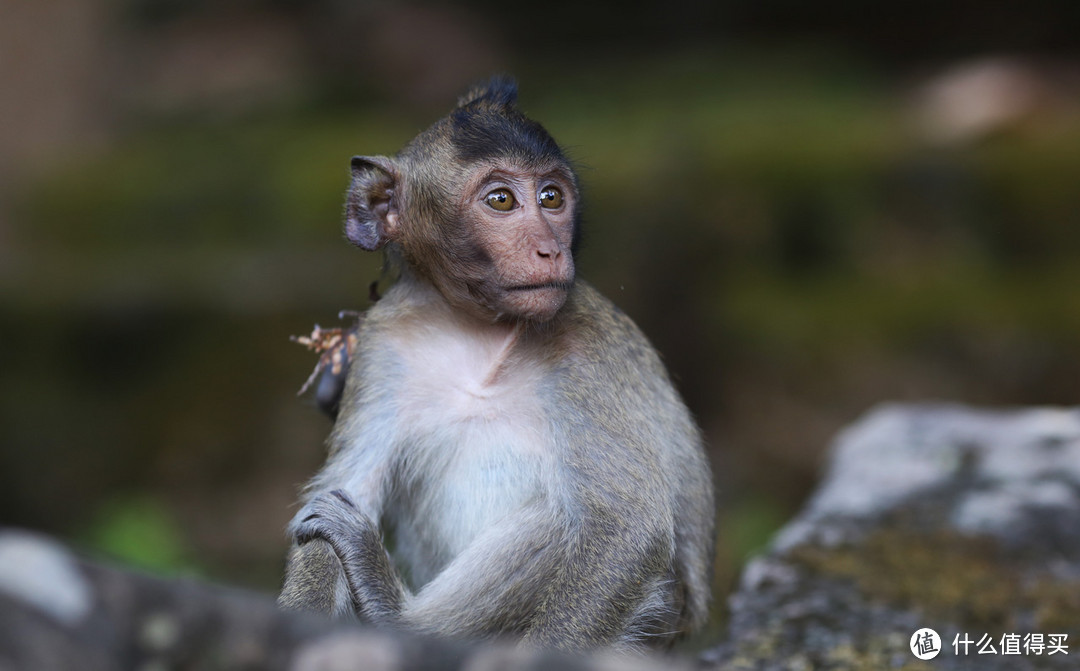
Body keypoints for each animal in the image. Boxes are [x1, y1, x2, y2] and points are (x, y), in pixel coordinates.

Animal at [278, 75, 717, 652]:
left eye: (552, 197)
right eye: (502, 200)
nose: (550, 250)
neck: (477, 333)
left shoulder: (586, 351)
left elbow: (627, 528)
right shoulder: (381, 347)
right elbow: (345, 489)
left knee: (559, 519)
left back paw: (394, 612)